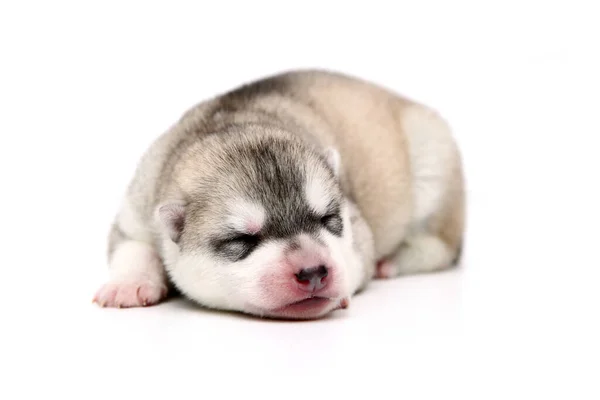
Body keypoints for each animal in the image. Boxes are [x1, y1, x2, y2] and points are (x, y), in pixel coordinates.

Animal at [94, 69, 464, 318]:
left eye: (328, 219)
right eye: (243, 239)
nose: (313, 271)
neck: (235, 124)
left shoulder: (358, 227)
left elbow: (359, 252)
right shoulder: (139, 206)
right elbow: (131, 246)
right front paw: (129, 284)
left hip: (433, 161)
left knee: (441, 246)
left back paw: (395, 260)